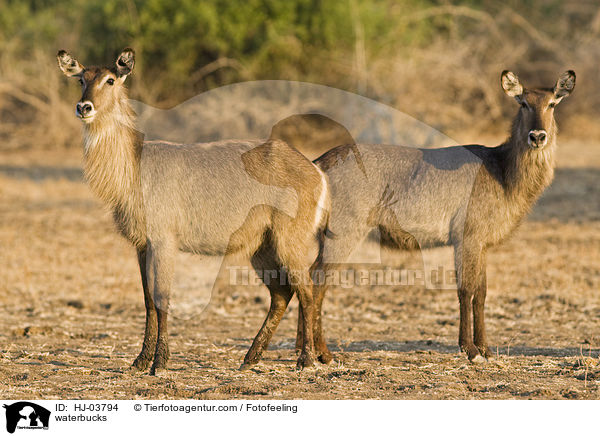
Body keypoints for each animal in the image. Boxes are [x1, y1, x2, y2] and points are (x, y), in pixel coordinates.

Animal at [56, 48, 330, 374]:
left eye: (110, 80)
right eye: (81, 79)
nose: (84, 107)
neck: (133, 165)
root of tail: (315, 170)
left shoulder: (164, 241)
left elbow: (162, 298)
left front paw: (159, 362)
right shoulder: (141, 245)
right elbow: (147, 300)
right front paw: (140, 360)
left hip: (289, 241)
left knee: (307, 290)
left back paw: (306, 359)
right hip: (262, 247)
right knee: (282, 294)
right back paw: (250, 358)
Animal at [292, 70, 576, 362]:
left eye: (552, 104)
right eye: (523, 103)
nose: (537, 136)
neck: (502, 170)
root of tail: (319, 163)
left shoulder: (482, 244)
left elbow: (482, 293)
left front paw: (486, 349)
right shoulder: (466, 238)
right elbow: (466, 290)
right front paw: (470, 349)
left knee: (307, 278)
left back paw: (304, 349)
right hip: (343, 235)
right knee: (318, 282)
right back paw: (321, 353)